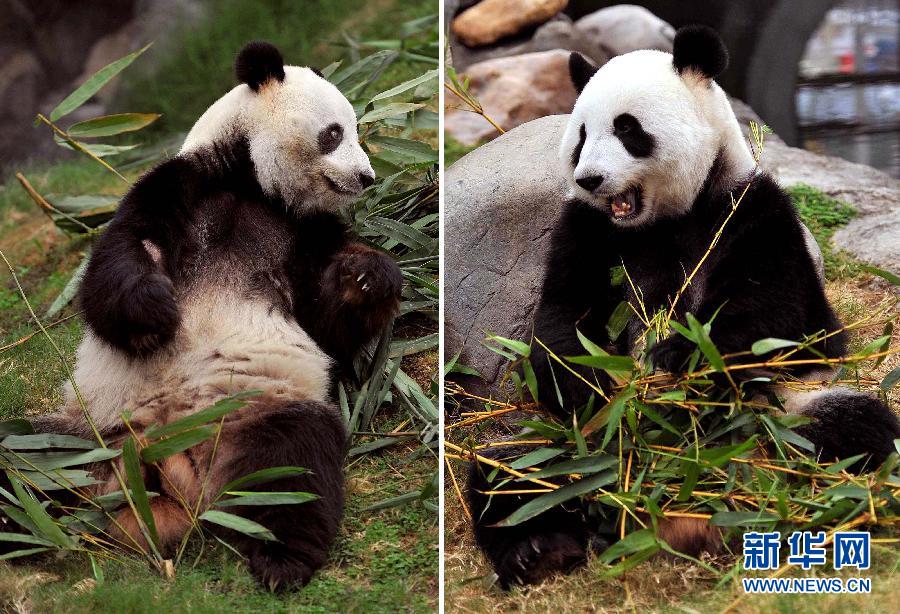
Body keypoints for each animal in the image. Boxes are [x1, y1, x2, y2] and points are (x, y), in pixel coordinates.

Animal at [27, 41, 400, 588]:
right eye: (335, 132)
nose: (366, 177)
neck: (256, 188)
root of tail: (164, 464)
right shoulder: (181, 187)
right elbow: (120, 262)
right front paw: (155, 313)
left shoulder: (305, 235)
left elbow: (325, 322)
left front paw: (369, 275)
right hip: (88, 430)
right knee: (29, 460)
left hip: (257, 407)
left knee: (294, 467)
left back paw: (282, 559)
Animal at [468, 25, 896, 592]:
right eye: (581, 135)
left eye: (627, 129)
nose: (589, 179)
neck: (660, 218)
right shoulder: (588, 231)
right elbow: (564, 313)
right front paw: (581, 376)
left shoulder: (748, 213)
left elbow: (774, 317)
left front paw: (679, 355)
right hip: (570, 440)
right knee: (508, 472)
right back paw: (538, 548)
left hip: (790, 406)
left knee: (851, 430)